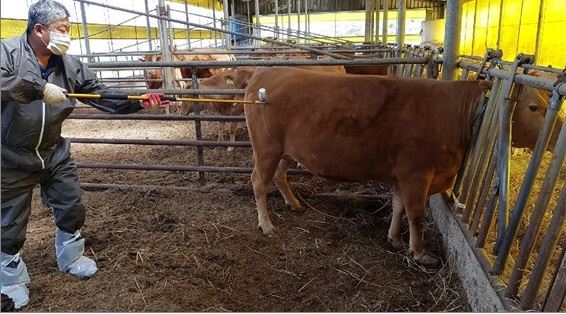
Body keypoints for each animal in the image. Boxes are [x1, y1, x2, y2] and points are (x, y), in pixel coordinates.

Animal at [246, 67, 494, 266]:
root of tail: (266, 70)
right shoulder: (416, 173)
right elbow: (415, 214)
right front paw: (419, 253)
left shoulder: (401, 176)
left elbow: (398, 205)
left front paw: (394, 239)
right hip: (267, 148)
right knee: (259, 181)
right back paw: (266, 225)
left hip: (286, 150)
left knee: (278, 175)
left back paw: (294, 204)